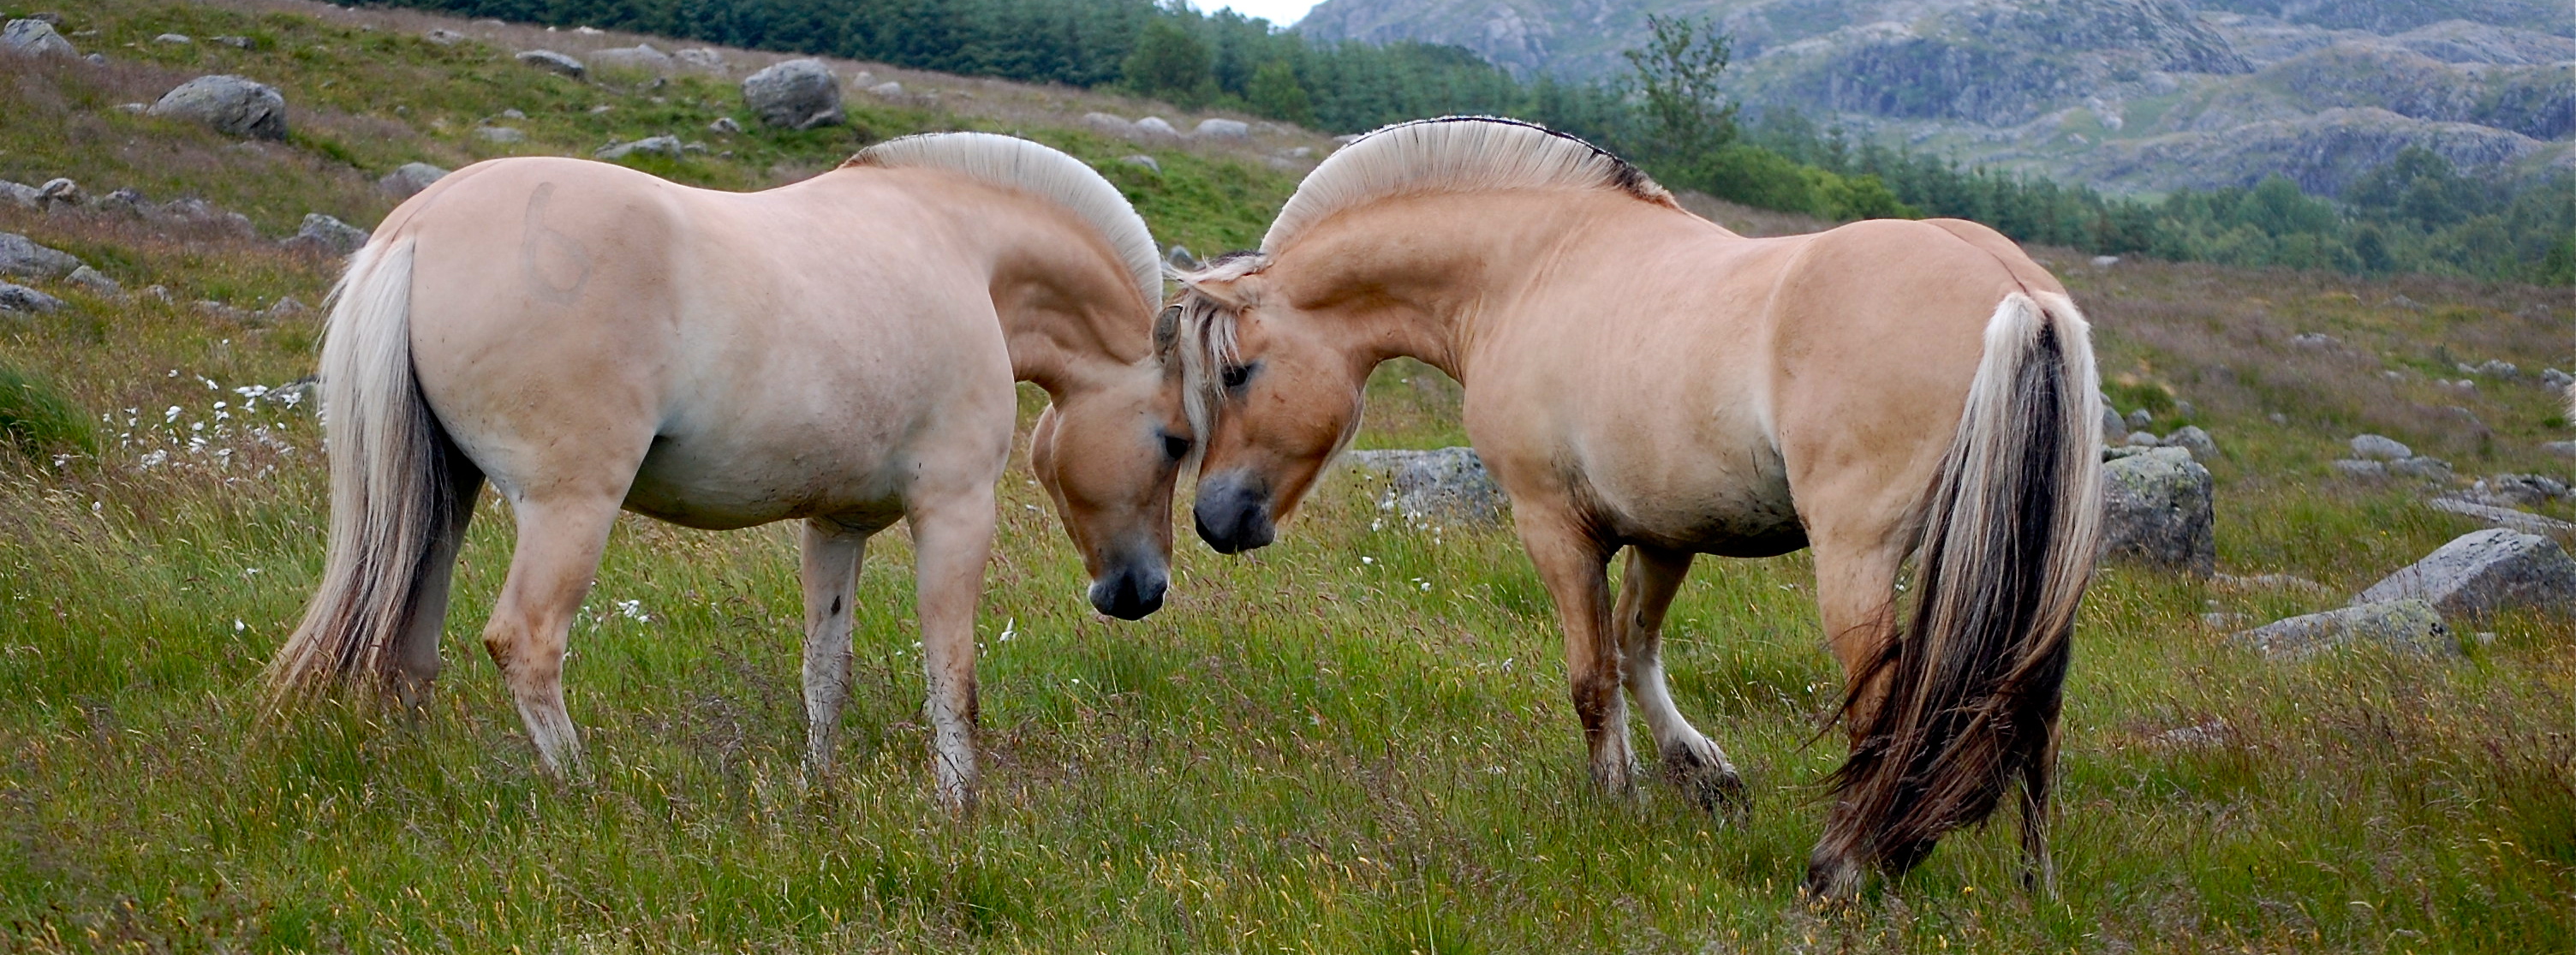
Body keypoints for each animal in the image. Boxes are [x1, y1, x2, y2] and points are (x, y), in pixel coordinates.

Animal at [266, 132, 1190, 808]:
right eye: (1177, 439)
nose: (1141, 591)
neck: (962, 249)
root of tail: (419, 225)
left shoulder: (838, 523)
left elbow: (825, 668)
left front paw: (821, 791)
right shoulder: (955, 511)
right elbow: (951, 673)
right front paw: (958, 805)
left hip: (443, 499)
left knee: (407, 645)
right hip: (570, 509)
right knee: (525, 640)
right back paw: (586, 794)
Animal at [1179, 117, 2102, 895]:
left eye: (1235, 373)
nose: (1213, 520)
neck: (1531, 267)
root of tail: (2021, 296)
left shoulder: (1553, 525)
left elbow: (1592, 674)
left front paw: (1616, 798)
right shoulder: (1667, 530)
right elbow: (1634, 647)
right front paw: (1703, 774)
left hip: (1858, 559)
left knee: (1882, 709)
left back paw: (1841, 867)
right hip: (2032, 572)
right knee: (2035, 713)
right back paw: (2035, 881)